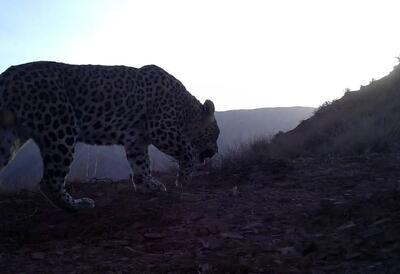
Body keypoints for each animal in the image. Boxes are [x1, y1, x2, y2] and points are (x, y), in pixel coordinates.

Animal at [0, 61, 219, 212]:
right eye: (216, 134)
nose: (216, 151)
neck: (186, 109)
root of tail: (8, 75)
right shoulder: (161, 129)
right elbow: (187, 150)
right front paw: (183, 178)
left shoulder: (136, 140)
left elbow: (142, 165)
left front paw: (149, 185)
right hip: (60, 130)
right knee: (49, 180)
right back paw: (77, 205)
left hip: (9, 135)